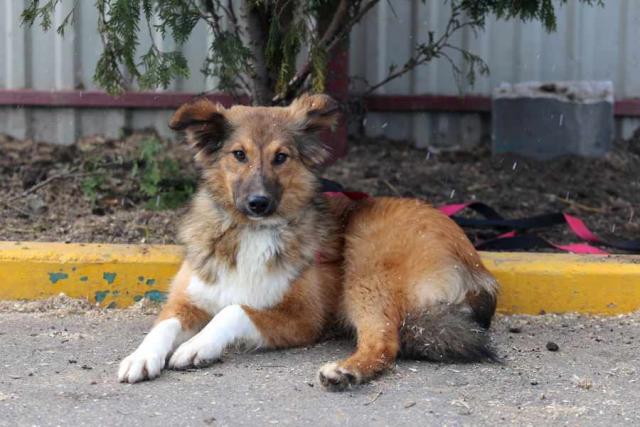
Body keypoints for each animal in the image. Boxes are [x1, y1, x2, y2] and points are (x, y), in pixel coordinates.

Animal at [117, 94, 498, 391]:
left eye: (280, 157)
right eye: (238, 155)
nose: (258, 203)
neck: (251, 232)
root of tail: (474, 261)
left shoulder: (302, 319)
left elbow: (233, 310)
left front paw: (199, 345)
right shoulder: (187, 298)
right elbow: (164, 325)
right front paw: (141, 356)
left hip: (366, 265)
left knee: (384, 343)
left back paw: (345, 371)